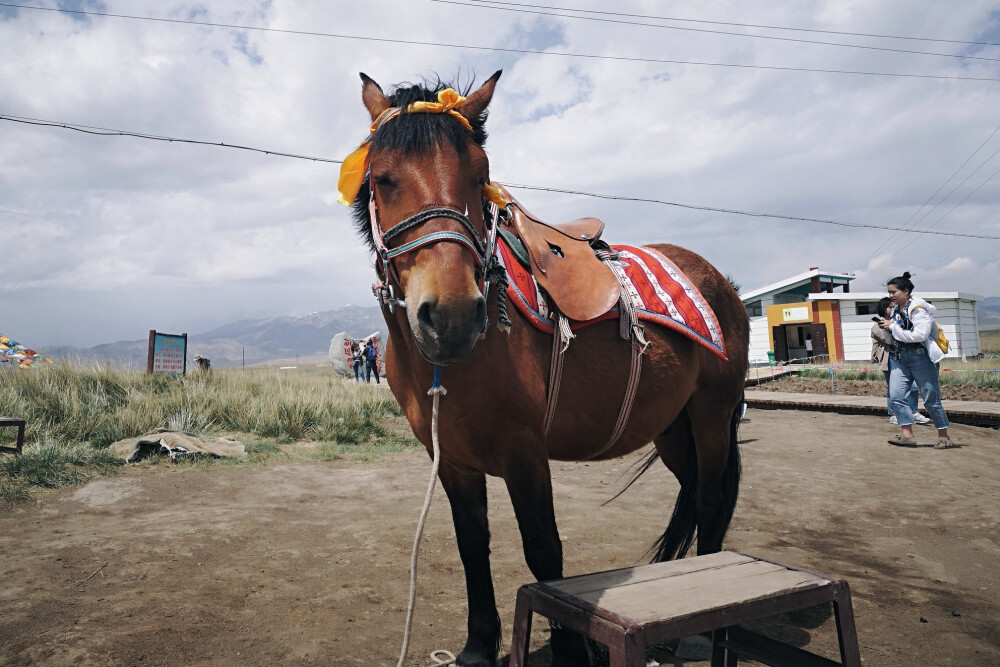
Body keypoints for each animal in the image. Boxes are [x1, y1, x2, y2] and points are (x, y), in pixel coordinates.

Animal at [344, 70, 752, 664]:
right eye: (382, 180)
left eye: (481, 177)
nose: (452, 315)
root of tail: (720, 281)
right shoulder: (453, 462)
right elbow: (473, 545)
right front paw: (478, 645)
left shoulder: (526, 454)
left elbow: (545, 555)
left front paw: (568, 648)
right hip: (674, 429)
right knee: (697, 494)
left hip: (713, 414)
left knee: (712, 497)